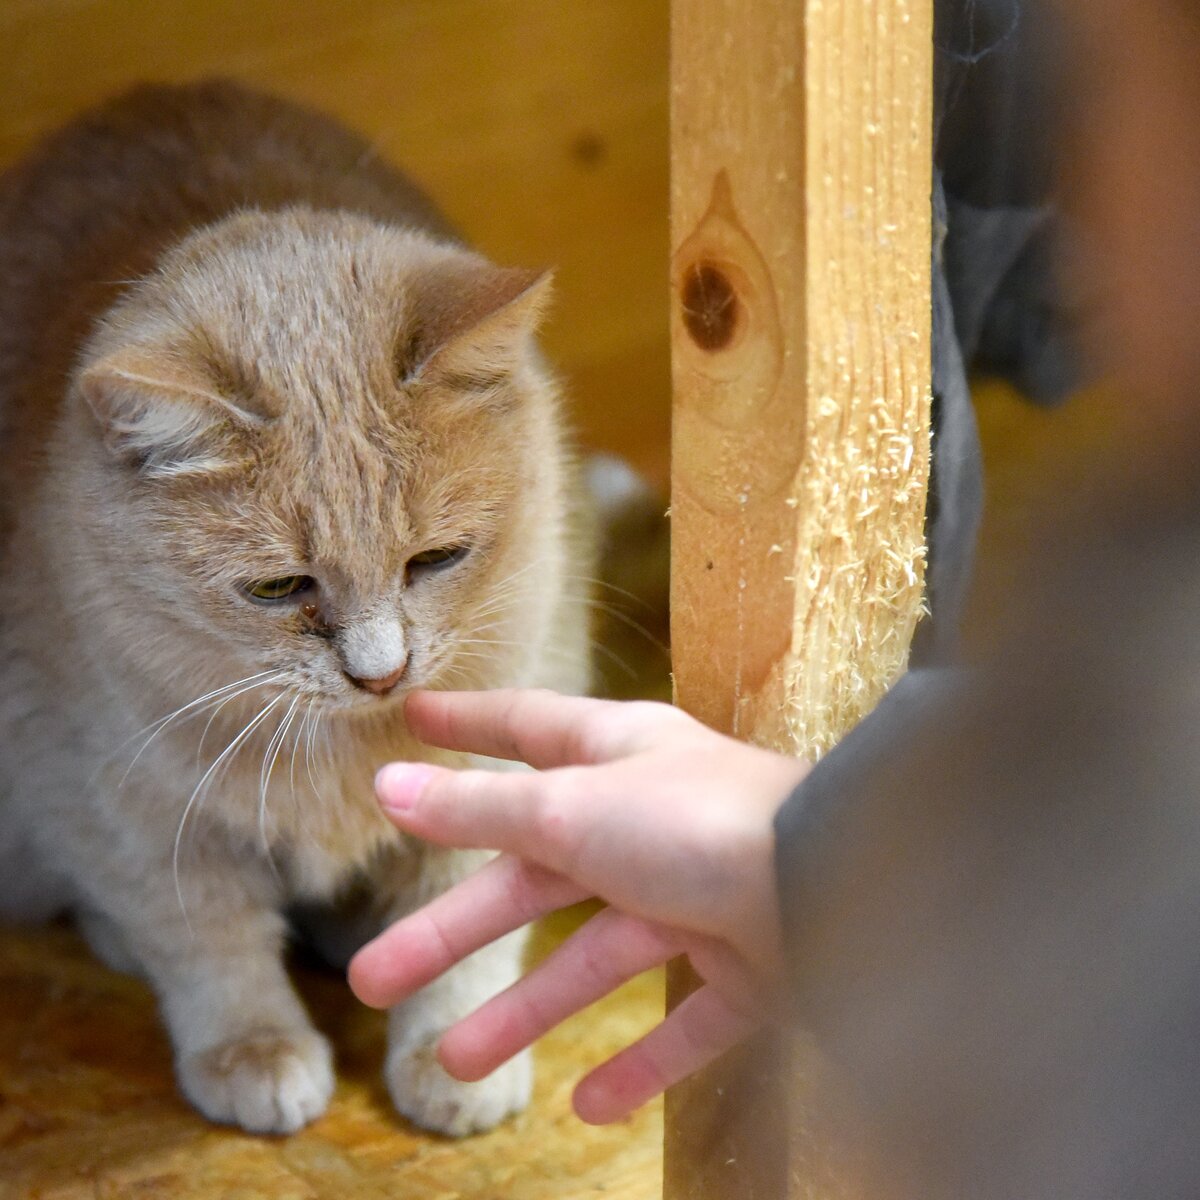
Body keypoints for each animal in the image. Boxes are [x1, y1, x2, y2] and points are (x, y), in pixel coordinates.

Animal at [0, 82, 590, 1132]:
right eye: (279, 587)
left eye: (437, 559)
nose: (381, 671)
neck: (342, 750)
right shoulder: (114, 800)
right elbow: (207, 939)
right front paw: (254, 1049)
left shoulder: (506, 748)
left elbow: (465, 923)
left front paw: (455, 1055)